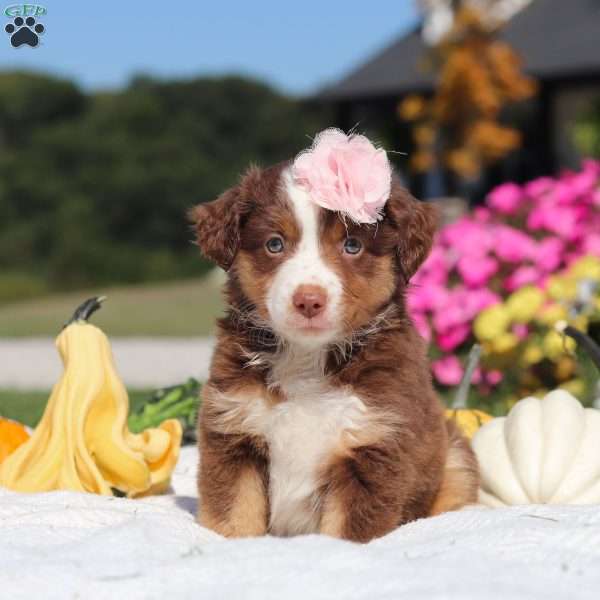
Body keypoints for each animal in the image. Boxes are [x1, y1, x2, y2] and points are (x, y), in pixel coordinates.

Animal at [190, 162, 480, 540]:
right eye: (274, 244)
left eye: (352, 245)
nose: (308, 300)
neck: (306, 359)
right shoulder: (232, 432)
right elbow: (235, 514)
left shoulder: (371, 446)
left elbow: (344, 532)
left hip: (455, 455)